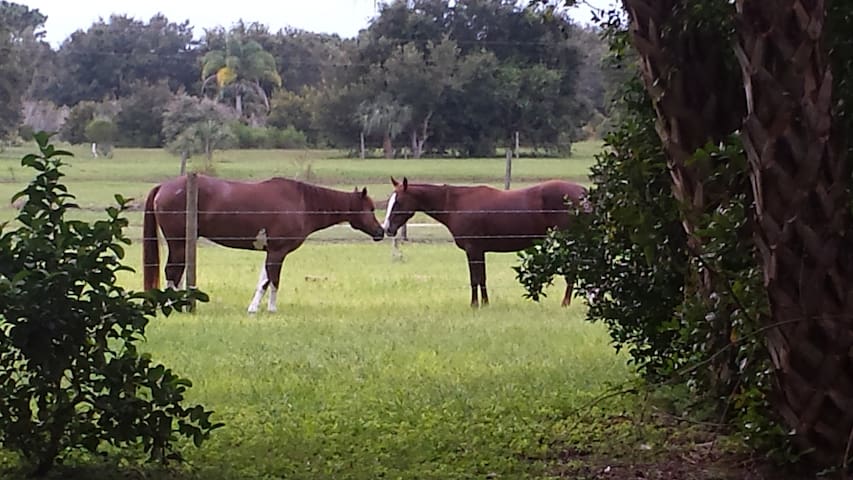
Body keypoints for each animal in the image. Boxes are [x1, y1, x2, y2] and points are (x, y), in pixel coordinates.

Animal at [143, 174, 382, 314]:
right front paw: (271, 309)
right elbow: (273, 281)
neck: (302, 203)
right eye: (370, 208)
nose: (381, 231)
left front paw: (253, 308)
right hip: (178, 244)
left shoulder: (270, 252)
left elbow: (263, 280)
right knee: (172, 272)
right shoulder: (278, 251)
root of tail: (163, 187)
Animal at [382, 177, 588, 308]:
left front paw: (474, 305)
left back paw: (565, 303)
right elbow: (482, 278)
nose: (387, 229)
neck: (455, 205)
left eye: (398, 202)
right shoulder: (479, 251)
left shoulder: (473, 250)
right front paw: (486, 303)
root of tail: (583, 192)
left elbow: (475, 278)